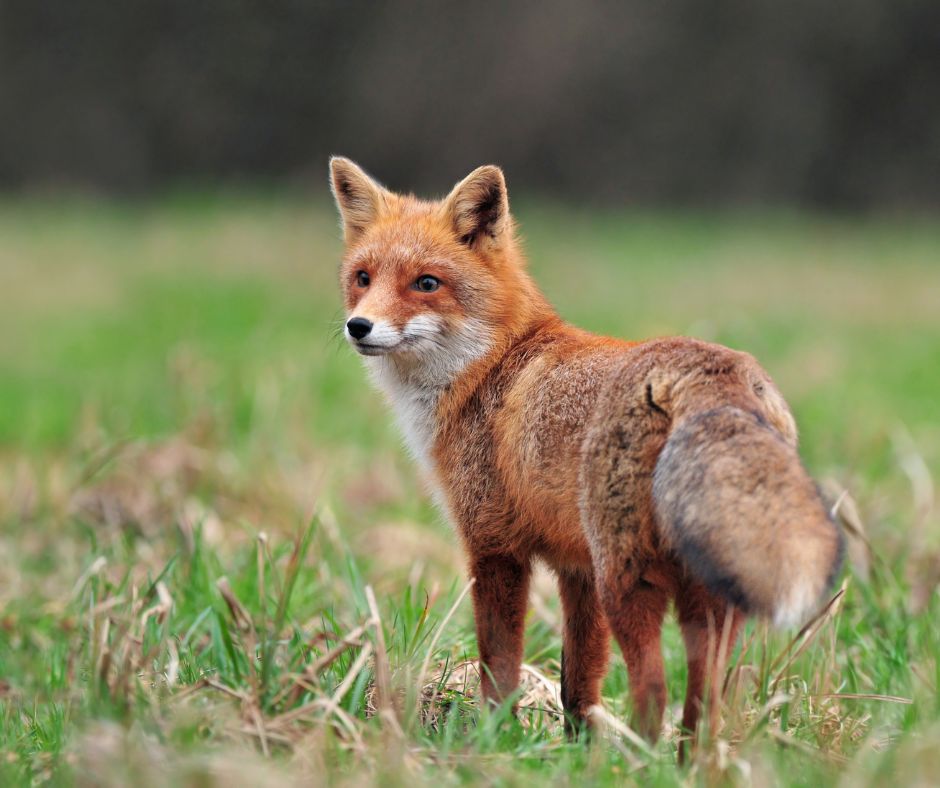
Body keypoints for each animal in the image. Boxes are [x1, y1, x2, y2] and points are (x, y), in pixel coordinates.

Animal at [328, 156, 844, 752]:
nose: (359, 326)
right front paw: (574, 749)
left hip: (629, 582)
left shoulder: (495, 547)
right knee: (704, 700)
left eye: (427, 283)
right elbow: (579, 680)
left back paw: (639, 762)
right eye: (363, 278)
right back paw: (688, 761)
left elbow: (499, 665)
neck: (491, 366)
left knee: (653, 689)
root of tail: (712, 372)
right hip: (702, 594)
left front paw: (495, 741)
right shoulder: (576, 567)